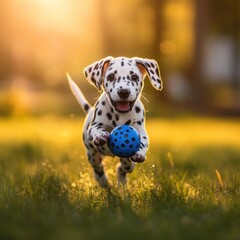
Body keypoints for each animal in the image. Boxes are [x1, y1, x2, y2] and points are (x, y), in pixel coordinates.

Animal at [66, 56, 162, 188]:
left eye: (134, 77)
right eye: (111, 77)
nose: (124, 92)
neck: (120, 115)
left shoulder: (141, 131)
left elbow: (142, 142)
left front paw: (139, 154)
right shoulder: (94, 126)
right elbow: (97, 130)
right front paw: (101, 135)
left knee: (122, 168)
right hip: (92, 155)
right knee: (98, 169)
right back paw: (103, 182)